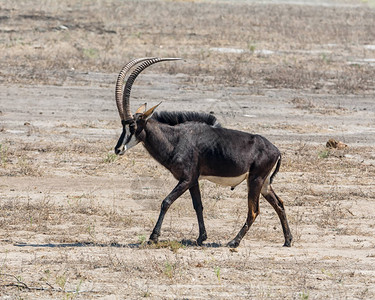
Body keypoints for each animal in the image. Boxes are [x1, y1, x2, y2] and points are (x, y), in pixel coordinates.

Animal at [114, 57, 294, 247]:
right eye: (123, 125)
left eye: (133, 126)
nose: (118, 149)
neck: (176, 138)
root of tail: (276, 150)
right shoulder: (194, 181)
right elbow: (198, 206)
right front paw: (201, 237)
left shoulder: (186, 179)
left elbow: (166, 201)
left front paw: (153, 237)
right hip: (264, 183)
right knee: (279, 204)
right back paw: (287, 240)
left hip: (255, 181)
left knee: (253, 211)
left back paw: (234, 241)